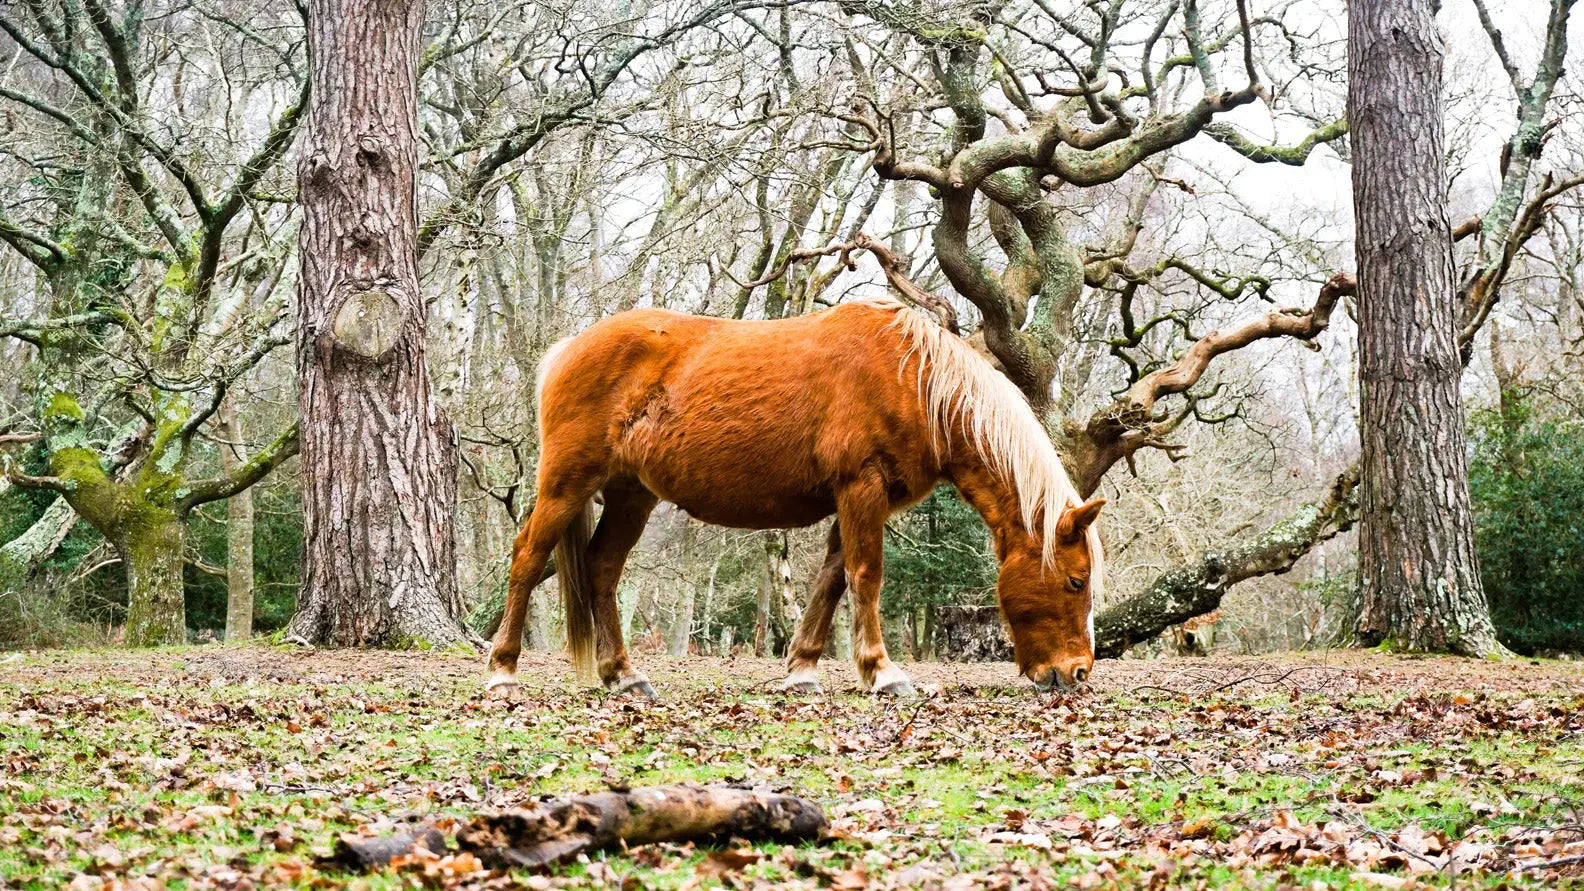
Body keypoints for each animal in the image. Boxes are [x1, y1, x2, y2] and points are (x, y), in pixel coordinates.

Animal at [485, 297, 1106, 697]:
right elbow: (865, 576)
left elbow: (832, 579)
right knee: (527, 558)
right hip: (566, 484)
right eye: (1076, 582)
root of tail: (569, 349)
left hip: (630, 495)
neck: (913, 379)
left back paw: (623, 675)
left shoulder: (859, 499)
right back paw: (502, 669)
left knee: (601, 569)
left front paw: (803, 669)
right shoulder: (861, 488)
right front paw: (884, 673)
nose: (1077, 673)